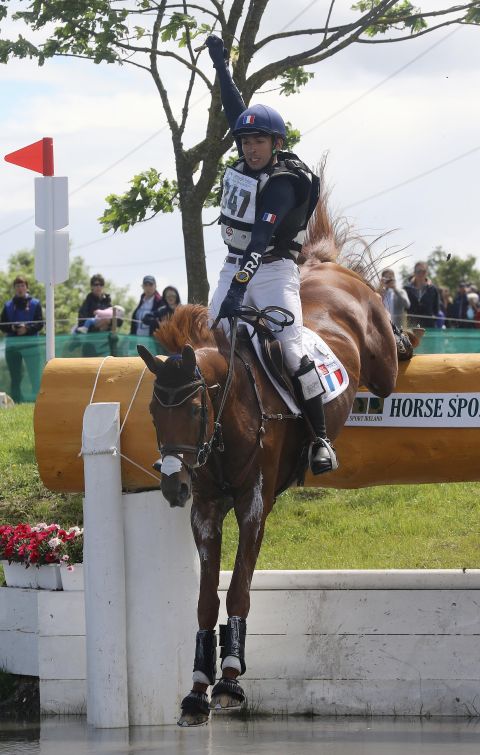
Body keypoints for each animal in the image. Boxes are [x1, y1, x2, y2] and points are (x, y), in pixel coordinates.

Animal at [137, 204, 396, 724]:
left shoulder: (254, 505)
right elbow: (205, 600)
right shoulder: (206, 511)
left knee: (394, 358)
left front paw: (230, 682)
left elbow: (238, 588)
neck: (225, 422)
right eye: (154, 412)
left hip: (383, 365)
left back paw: (407, 334)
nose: (173, 486)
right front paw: (197, 688)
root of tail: (321, 267)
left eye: (193, 411)